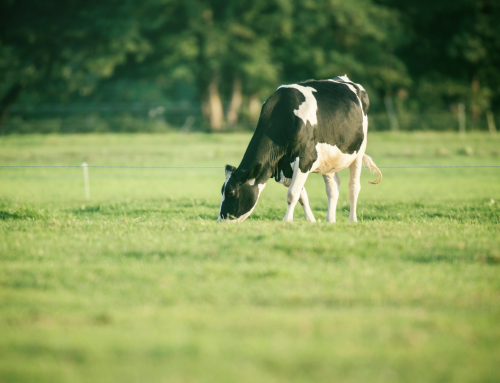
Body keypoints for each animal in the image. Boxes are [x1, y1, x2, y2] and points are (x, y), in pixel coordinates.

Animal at [217, 75, 380, 224]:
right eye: (222, 190)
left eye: (231, 192)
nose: (220, 221)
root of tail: (345, 79)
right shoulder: (286, 167)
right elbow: (301, 195)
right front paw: (311, 220)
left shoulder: (305, 159)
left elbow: (292, 194)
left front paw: (287, 221)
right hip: (327, 161)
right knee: (332, 188)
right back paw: (330, 220)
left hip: (358, 152)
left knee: (353, 187)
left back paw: (352, 219)